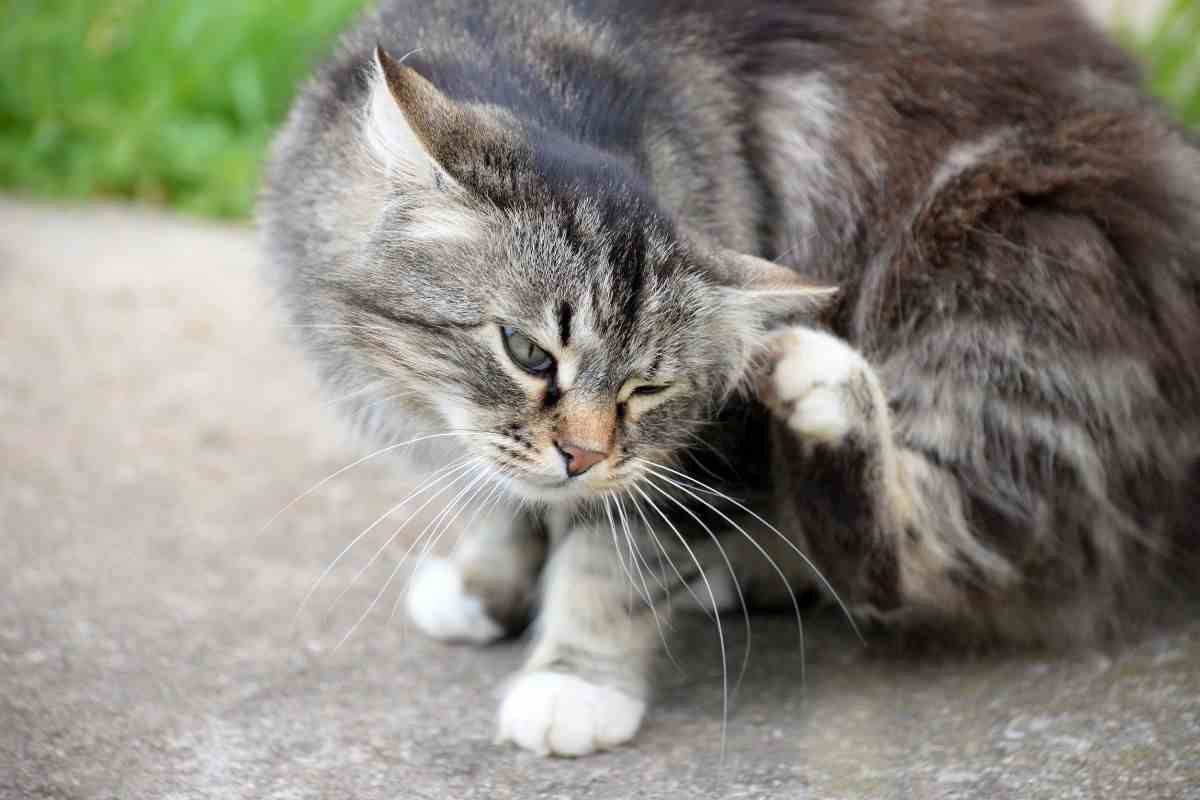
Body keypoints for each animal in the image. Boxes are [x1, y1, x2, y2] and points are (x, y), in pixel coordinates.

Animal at [262, 0, 1200, 758]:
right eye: (528, 353)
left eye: (647, 390)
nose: (583, 457)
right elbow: (499, 503)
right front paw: (484, 589)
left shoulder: (701, 448)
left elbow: (614, 563)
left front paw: (576, 682)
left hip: (1010, 285)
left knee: (927, 558)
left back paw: (823, 396)